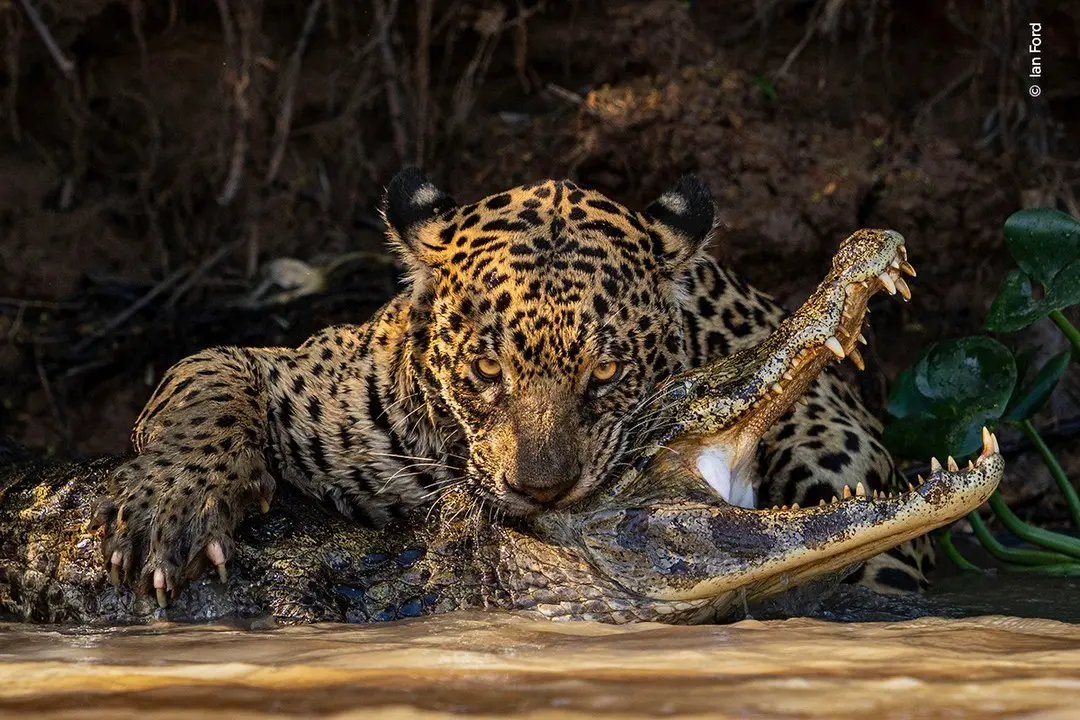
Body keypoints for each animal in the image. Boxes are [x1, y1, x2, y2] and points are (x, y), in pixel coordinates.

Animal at [98, 167, 931, 603]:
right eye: (487, 370)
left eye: (606, 372)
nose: (541, 491)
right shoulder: (290, 372)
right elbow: (208, 392)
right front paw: (170, 513)